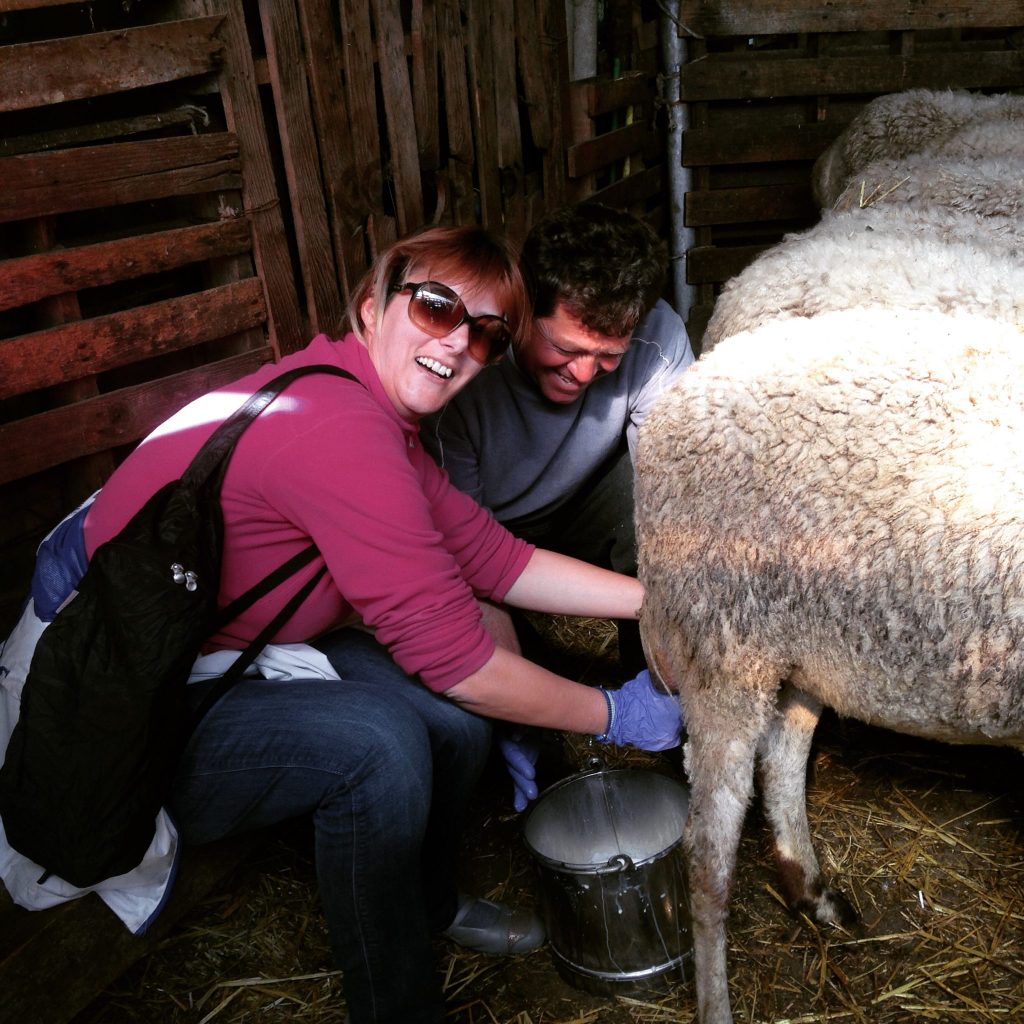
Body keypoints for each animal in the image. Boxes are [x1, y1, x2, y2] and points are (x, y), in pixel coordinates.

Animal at [634, 303, 1024, 1024]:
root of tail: (680, 393)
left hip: (805, 642)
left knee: (783, 760)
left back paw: (811, 890)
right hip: (723, 643)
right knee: (707, 851)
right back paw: (717, 1000)